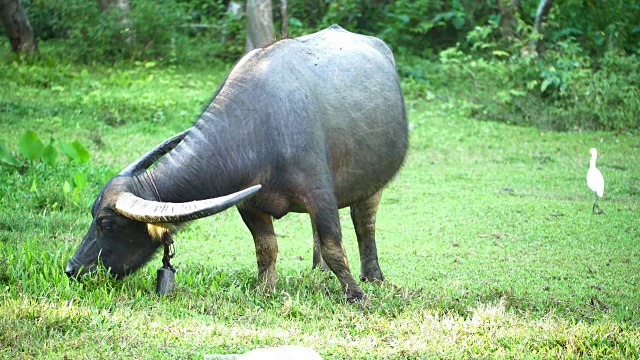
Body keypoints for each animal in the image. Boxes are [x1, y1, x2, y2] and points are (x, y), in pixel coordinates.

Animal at [65, 24, 408, 300]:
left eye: (106, 223)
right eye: (92, 215)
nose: (72, 268)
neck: (258, 129)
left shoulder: (320, 194)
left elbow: (334, 246)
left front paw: (356, 295)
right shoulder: (250, 205)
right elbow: (266, 249)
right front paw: (264, 290)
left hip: (372, 183)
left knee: (364, 224)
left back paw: (373, 276)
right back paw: (318, 272)